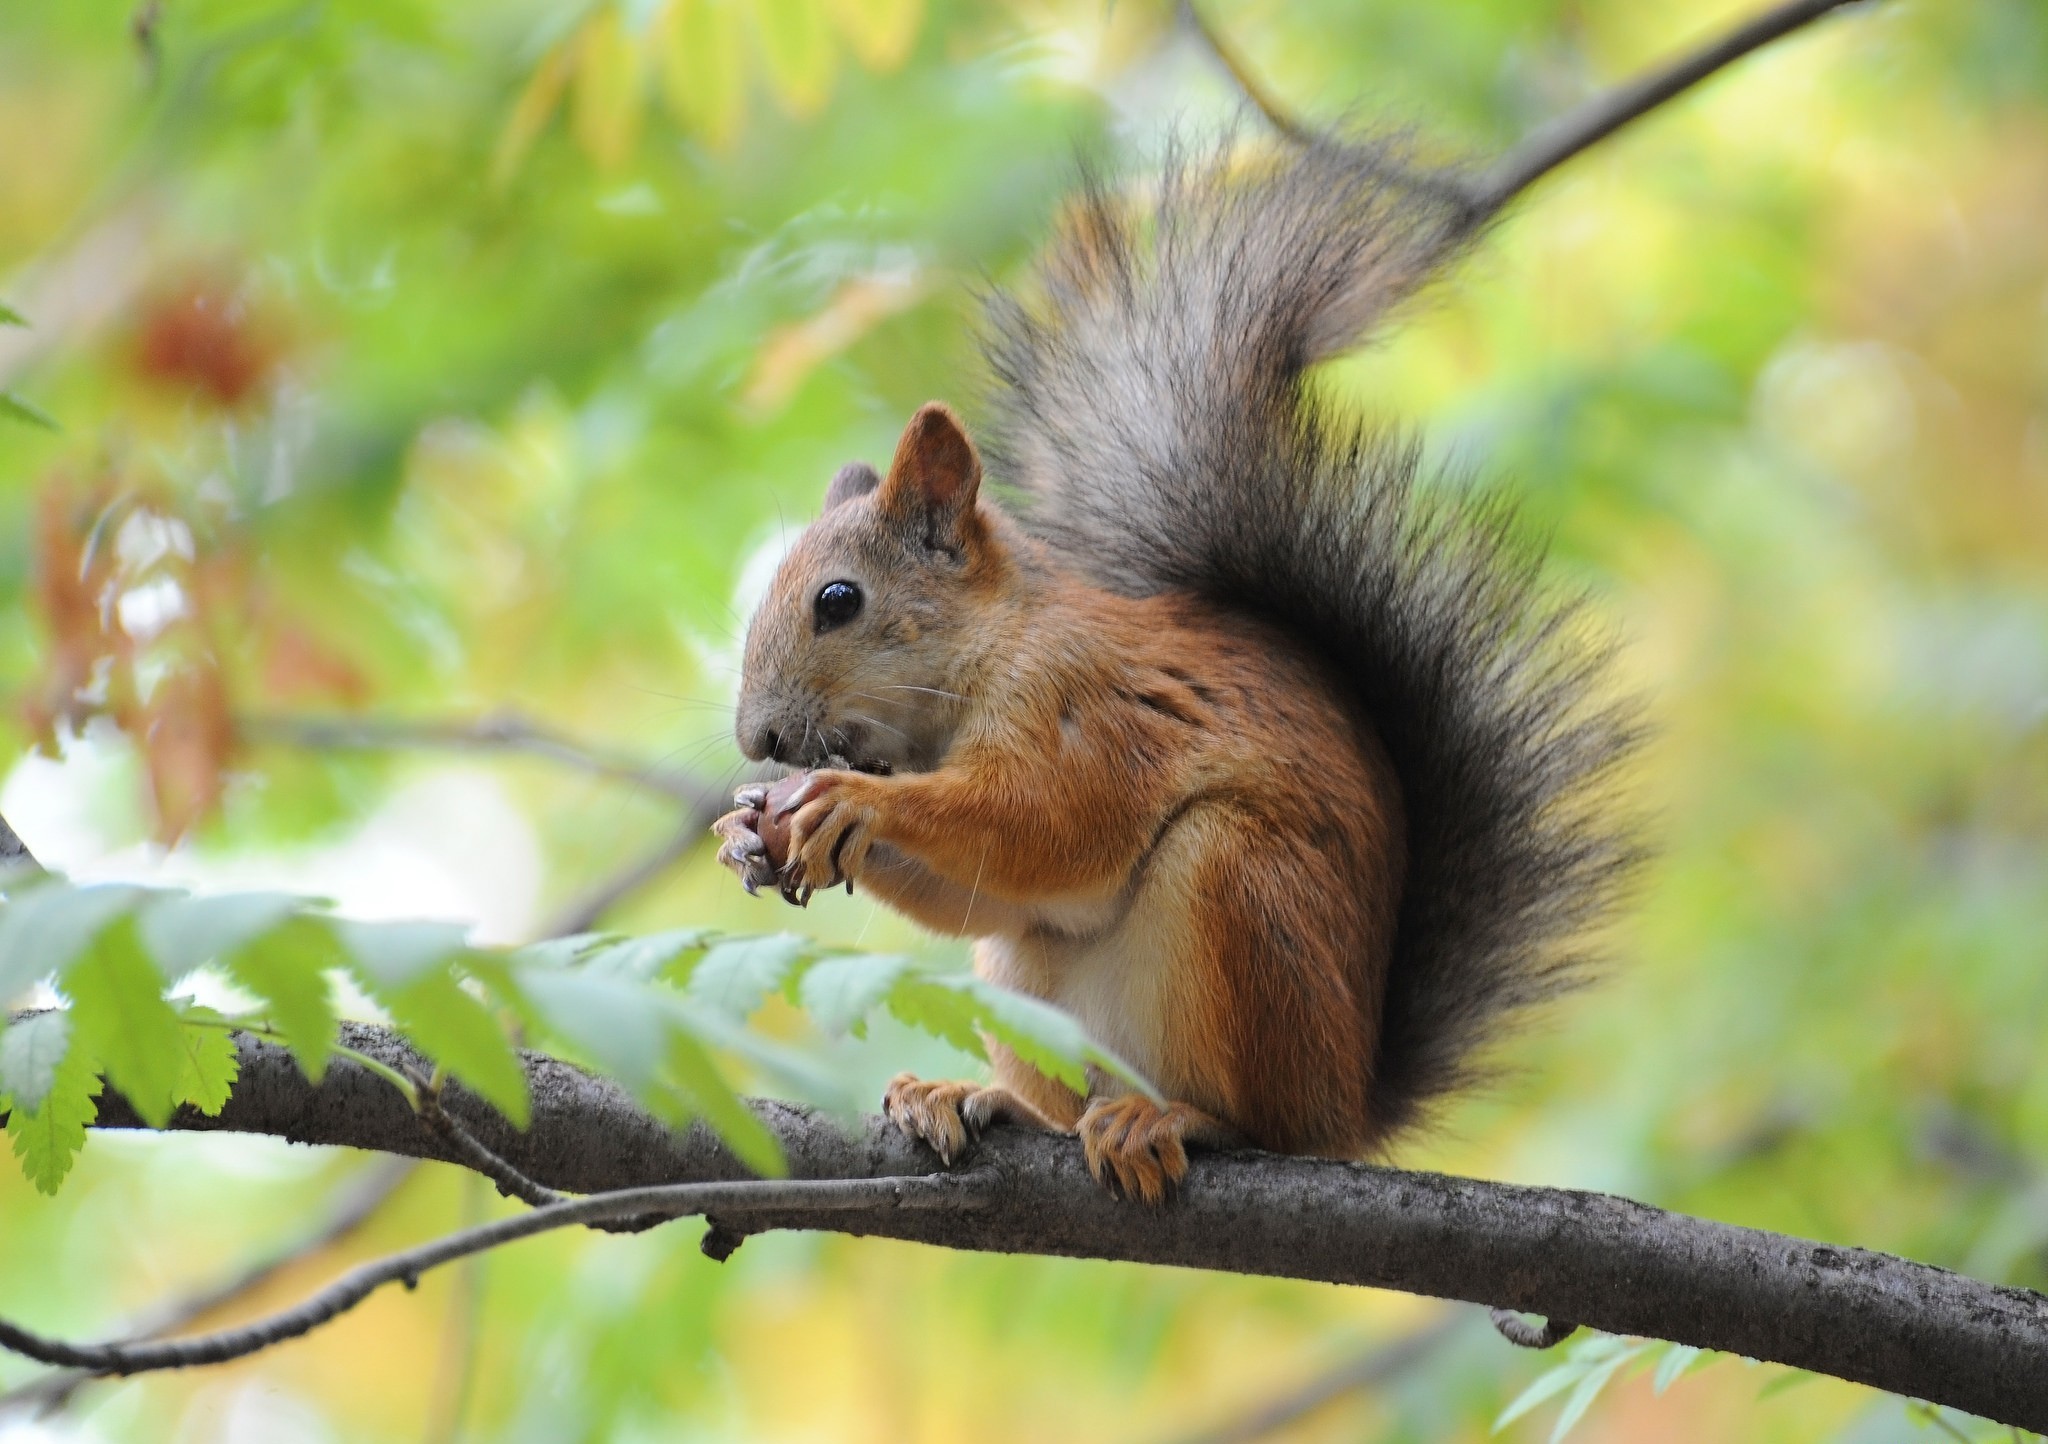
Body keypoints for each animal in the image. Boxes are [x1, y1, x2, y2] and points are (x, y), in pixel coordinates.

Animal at [712, 135, 1638, 1196]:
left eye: (838, 601)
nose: (758, 739)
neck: (989, 653)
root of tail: (1352, 1109)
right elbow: (988, 890)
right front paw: (744, 830)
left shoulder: (1089, 704)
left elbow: (1054, 822)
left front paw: (857, 802)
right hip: (1023, 982)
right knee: (1052, 1069)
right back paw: (975, 1099)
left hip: (1240, 893)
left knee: (1260, 1118)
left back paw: (1176, 1119)